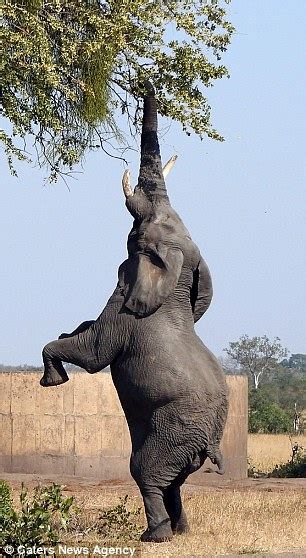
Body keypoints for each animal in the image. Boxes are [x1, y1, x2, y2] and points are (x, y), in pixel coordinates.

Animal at [40, 82, 228, 544]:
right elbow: (86, 334)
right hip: (180, 437)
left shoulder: (127, 312)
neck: (174, 279)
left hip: (173, 427)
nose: (147, 81)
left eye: (135, 227)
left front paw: (53, 379)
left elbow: (94, 351)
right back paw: (179, 532)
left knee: (148, 472)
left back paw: (155, 536)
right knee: (175, 479)